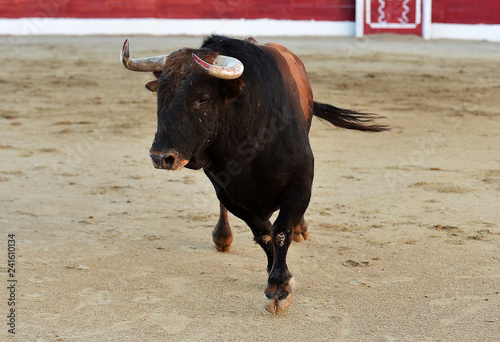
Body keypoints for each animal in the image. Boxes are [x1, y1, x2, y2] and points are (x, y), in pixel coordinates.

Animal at [119, 35, 388, 316]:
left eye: (203, 98)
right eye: (160, 96)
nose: (161, 156)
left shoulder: (301, 180)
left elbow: (281, 230)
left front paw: (280, 286)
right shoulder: (228, 193)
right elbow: (263, 232)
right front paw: (275, 277)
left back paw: (301, 229)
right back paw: (223, 237)